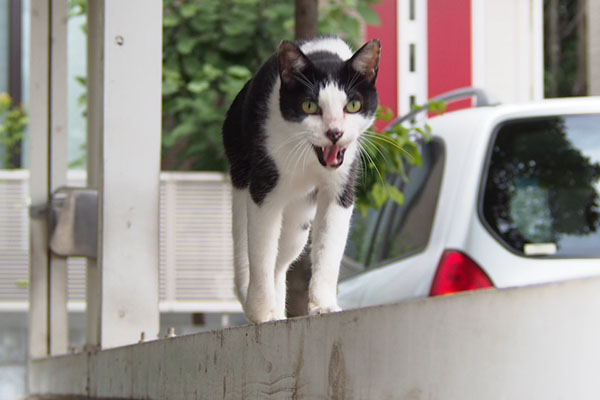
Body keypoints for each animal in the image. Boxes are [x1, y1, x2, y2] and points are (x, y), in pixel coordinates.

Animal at [220, 36, 380, 324]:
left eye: (353, 105)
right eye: (309, 106)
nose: (334, 132)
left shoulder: (341, 186)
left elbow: (329, 249)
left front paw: (323, 305)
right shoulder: (264, 187)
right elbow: (260, 252)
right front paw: (260, 311)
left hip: (299, 221)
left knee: (281, 260)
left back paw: (277, 309)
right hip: (240, 172)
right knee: (246, 248)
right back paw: (258, 304)